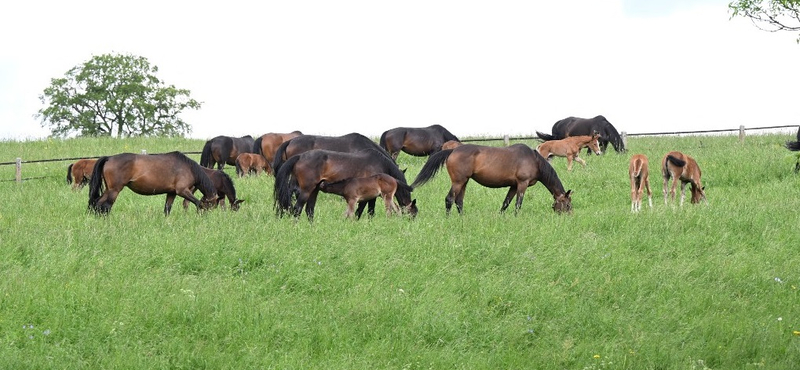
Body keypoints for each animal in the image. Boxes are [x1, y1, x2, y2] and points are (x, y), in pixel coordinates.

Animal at [90, 151, 219, 215]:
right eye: (211, 206)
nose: (209, 218)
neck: (188, 168)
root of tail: (109, 158)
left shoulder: (171, 193)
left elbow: (167, 210)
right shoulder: (182, 191)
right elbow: (198, 203)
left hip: (108, 189)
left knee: (97, 204)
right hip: (114, 190)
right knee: (106, 206)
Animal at [274, 149, 416, 221]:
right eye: (414, 213)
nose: (412, 222)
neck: (380, 163)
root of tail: (299, 156)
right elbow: (366, 210)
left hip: (314, 190)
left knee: (309, 210)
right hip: (306, 190)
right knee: (297, 209)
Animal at [410, 144, 572, 215]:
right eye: (568, 205)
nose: (569, 217)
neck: (534, 160)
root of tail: (453, 150)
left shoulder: (514, 186)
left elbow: (506, 203)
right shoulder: (522, 184)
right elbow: (518, 204)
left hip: (464, 182)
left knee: (459, 201)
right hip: (458, 182)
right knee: (449, 199)